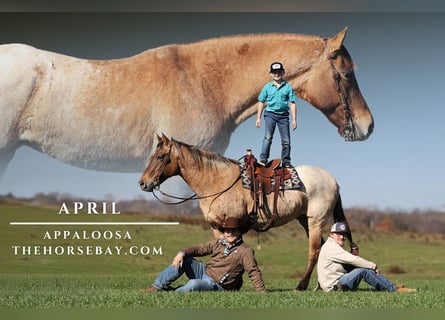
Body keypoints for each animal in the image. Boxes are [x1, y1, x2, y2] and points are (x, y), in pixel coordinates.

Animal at [137, 134, 356, 290]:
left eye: (160, 156)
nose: (143, 183)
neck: (217, 182)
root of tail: (332, 180)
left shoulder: (234, 223)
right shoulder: (217, 227)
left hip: (315, 220)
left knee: (314, 250)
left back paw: (301, 286)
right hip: (304, 220)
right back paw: (318, 285)